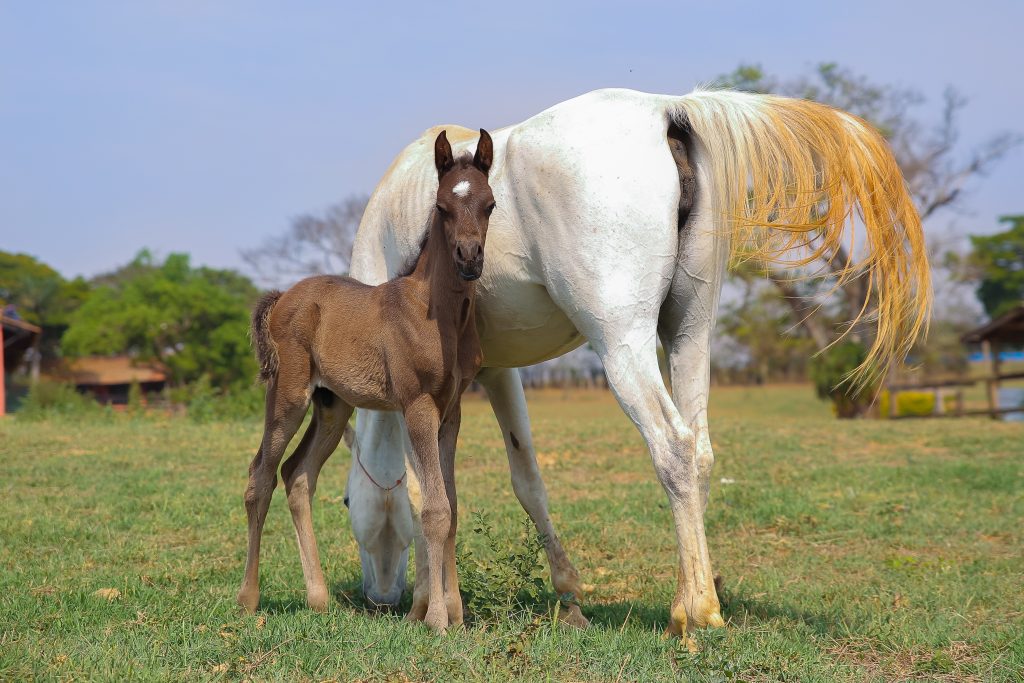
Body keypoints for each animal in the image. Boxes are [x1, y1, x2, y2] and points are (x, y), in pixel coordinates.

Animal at [239, 126, 495, 630]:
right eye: (441, 207)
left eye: (490, 204)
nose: (469, 258)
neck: (438, 313)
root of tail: (282, 297)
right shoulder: (417, 405)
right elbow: (434, 508)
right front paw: (438, 619)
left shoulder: (452, 410)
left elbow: (453, 506)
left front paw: (455, 613)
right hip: (288, 395)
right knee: (260, 477)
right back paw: (248, 598)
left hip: (332, 406)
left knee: (298, 475)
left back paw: (318, 598)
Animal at [337, 87, 929, 634]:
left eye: (343, 502)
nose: (381, 599)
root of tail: (666, 109)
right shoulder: (493, 373)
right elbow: (512, 481)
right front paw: (556, 598)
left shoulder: (430, 389)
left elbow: (425, 491)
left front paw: (430, 606)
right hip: (688, 333)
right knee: (700, 452)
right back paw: (685, 598)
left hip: (623, 345)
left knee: (673, 446)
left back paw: (700, 611)